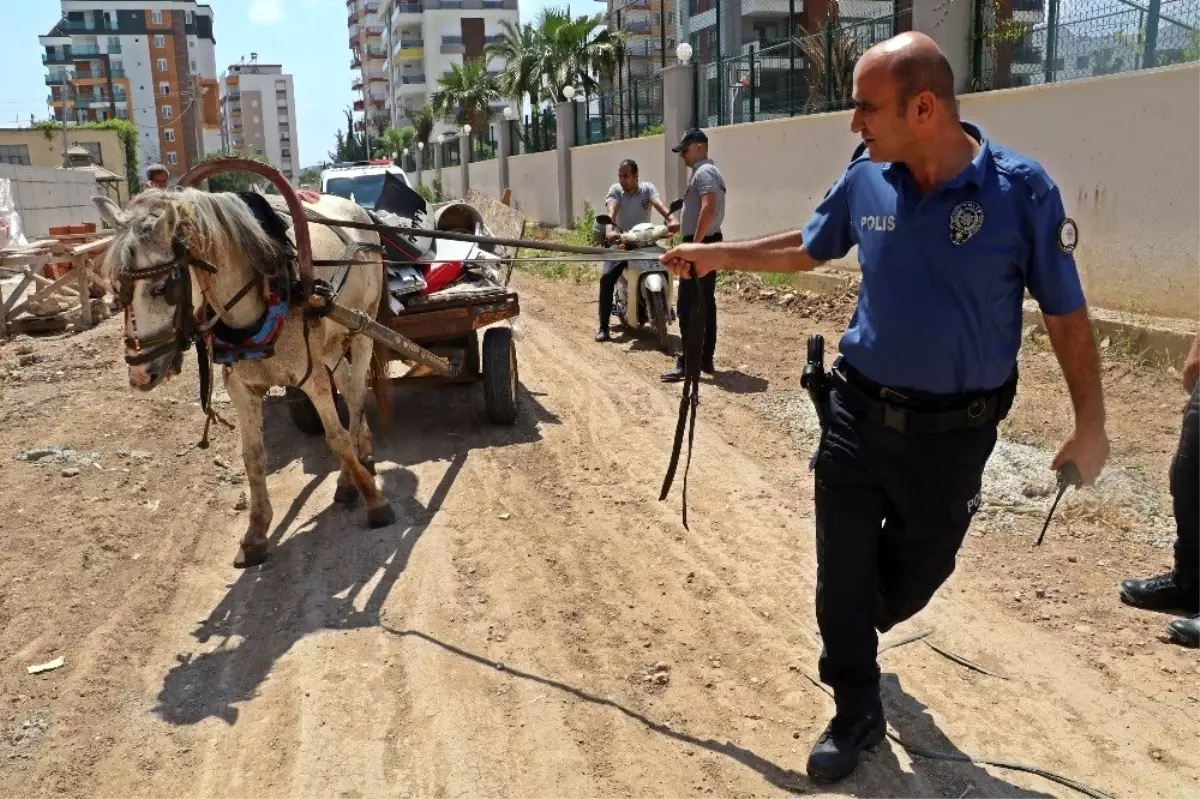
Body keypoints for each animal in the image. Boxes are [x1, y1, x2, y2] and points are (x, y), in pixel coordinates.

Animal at [94, 189, 393, 566]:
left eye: (162, 288)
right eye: (118, 288)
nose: (139, 372)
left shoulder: (312, 378)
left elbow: (336, 437)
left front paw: (374, 501)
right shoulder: (241, 388)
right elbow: (252, 456)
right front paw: (255, 533)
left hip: (363, 326)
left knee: (355, 395)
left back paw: (350, 475)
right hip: (329, 344)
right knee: (348, 384)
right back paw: (360, 455)